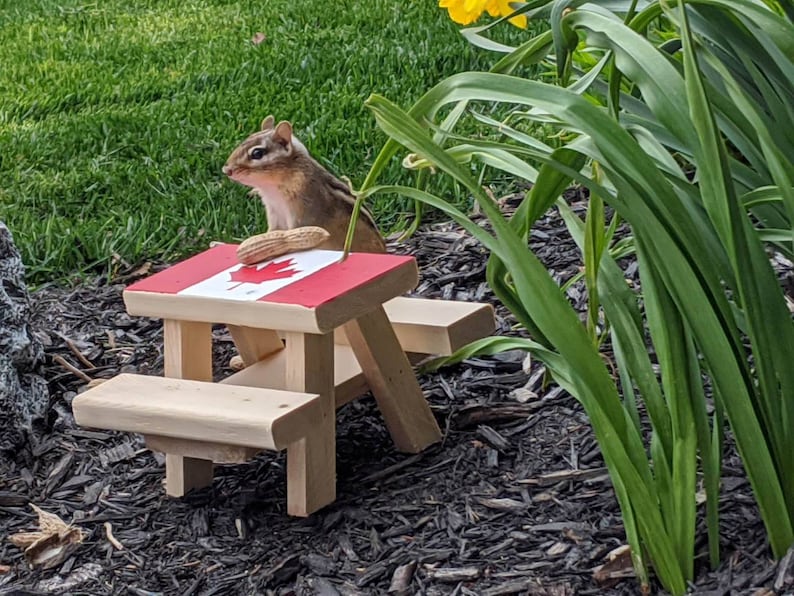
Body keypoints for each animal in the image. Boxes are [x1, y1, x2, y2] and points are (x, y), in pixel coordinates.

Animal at [222, 116, 386, 254]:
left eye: (257, 153)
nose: (227, 170)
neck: (272, 190)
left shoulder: (304, 212)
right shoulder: (274, 213)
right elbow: (273, 232)